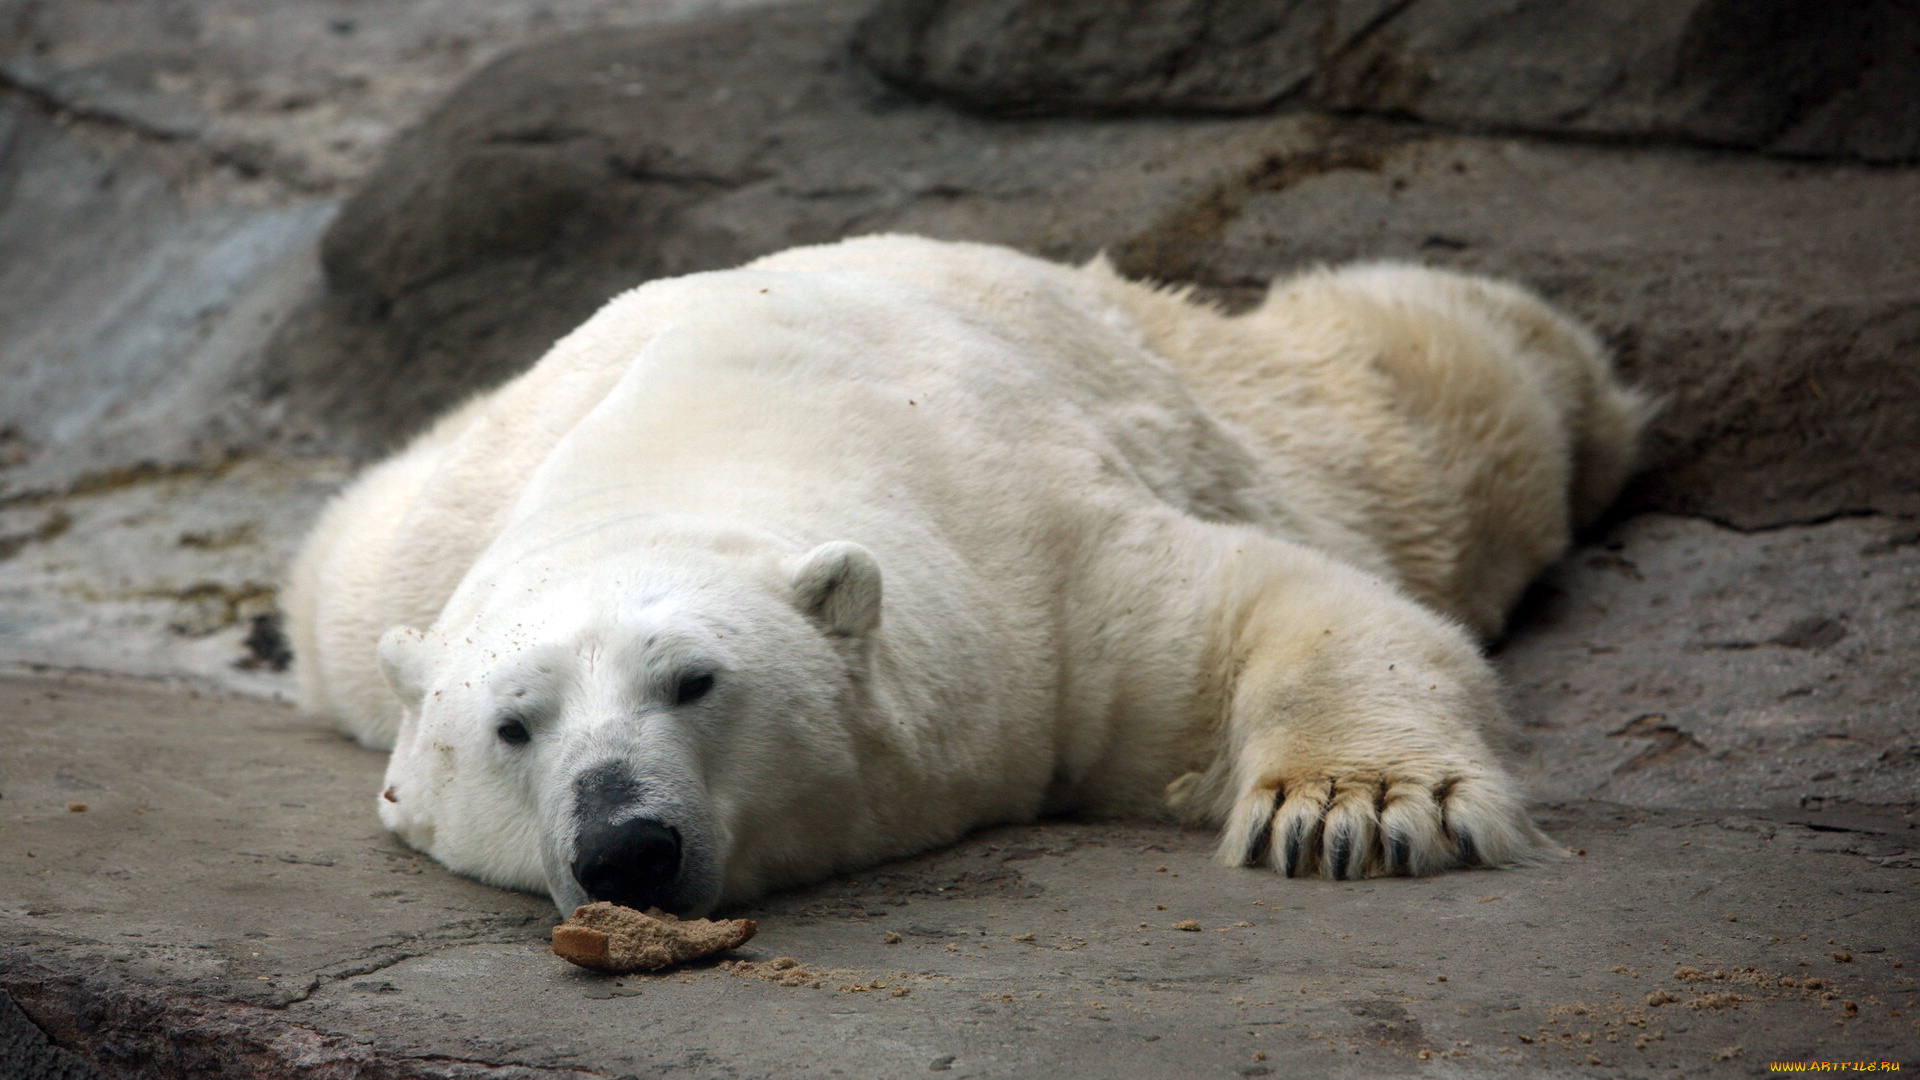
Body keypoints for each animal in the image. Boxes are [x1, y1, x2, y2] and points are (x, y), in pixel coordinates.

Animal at [283, 234, 1646, 916]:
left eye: (694, 683)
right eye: (511, 726)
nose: (626, 847)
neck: (693, 443)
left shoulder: (1035, 563)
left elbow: (1270, 605)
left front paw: (1355, 811)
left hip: (1238, 394)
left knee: (1426, 406)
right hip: (388, 553)